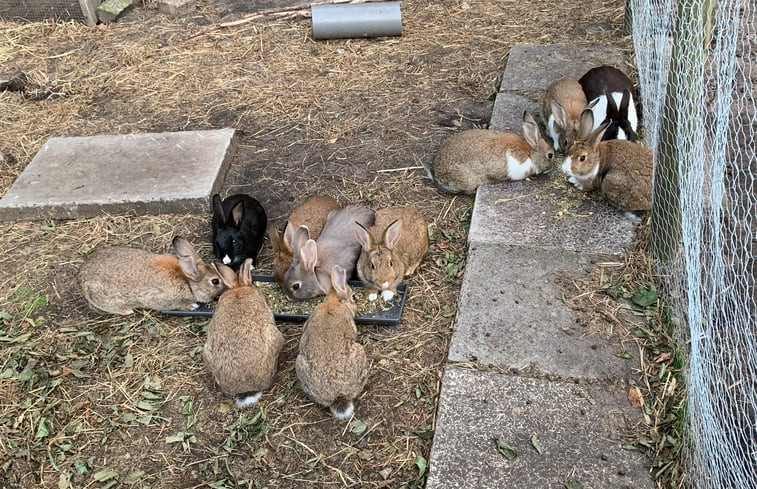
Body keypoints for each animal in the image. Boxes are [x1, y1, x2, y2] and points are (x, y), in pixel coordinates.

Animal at [78, 234, 224, 314]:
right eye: (215, 281)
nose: (224, 290)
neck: (187, 282)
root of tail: (80, 280)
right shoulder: (160, 299)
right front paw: (192, 306)